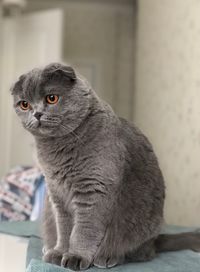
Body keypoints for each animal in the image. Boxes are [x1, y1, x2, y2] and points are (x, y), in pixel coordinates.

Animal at [11, 63, 200, 270]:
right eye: (24, 104)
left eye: (51, 98)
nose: (36, 114)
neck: (58, 149)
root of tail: (155, 240)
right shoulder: (56, 193)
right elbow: (64, 227)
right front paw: (59, 252)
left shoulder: (93, 189)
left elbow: (83, 230)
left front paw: (75, 256)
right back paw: (49, 248)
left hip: (141, 228)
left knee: (138, 252)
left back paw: (109, 257)